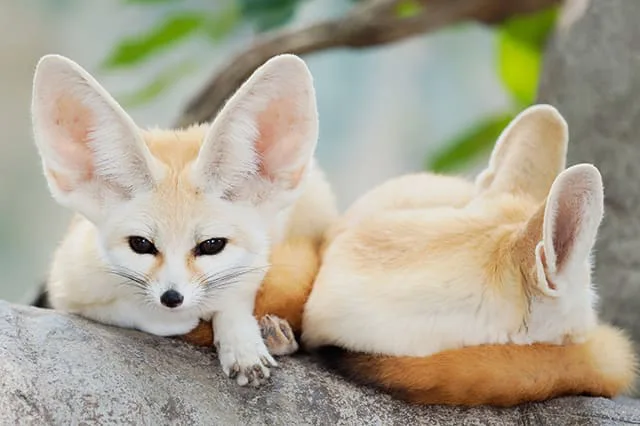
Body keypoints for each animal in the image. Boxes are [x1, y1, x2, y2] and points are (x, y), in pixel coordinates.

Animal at [31, 53, 337, 387]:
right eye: (141, 244)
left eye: (212, 245)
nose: (172, 298)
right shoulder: (67, 285)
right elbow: (130, 309)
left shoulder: (259, 257)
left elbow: (235, 296)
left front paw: (241, 342)